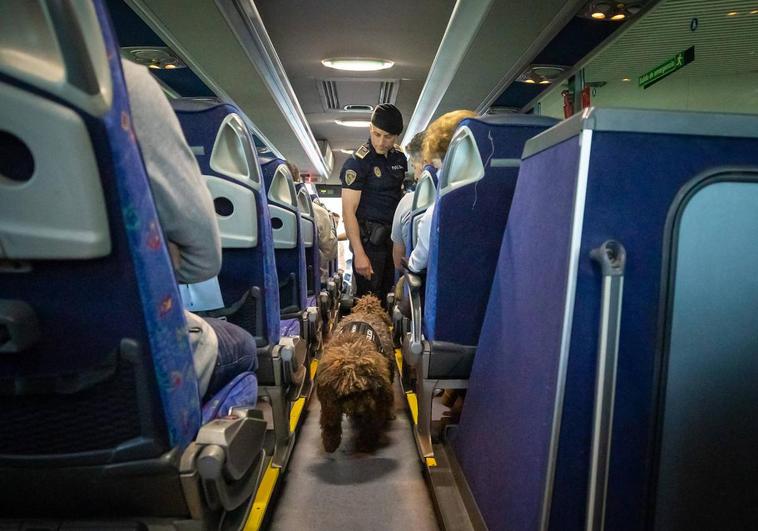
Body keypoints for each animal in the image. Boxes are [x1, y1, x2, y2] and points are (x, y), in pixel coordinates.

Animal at [316, 296, 394, 454]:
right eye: (349, 394)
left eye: (367, 390)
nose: (362, 410)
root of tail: (367, 310)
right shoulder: (329, 398)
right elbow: (330, 420)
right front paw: (331, 441)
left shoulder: (376, 400)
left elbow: (372, 424)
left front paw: (365, 443)